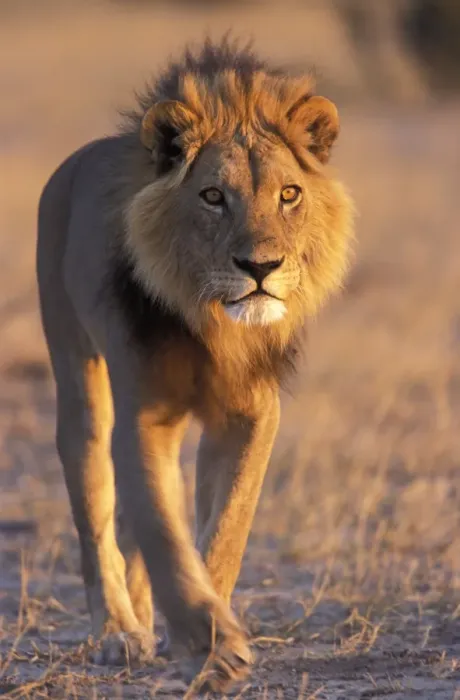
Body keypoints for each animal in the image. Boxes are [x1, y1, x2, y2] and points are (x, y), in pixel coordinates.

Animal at [36, 39, 353, 691]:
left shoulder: (253, 414)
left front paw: (207, 634)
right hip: (78, 381)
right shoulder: (142, 416)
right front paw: (211, 643)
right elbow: (160, 527)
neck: (215, 326)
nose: (260, 267)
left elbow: (226, 525)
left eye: (289, 194)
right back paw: (119, 632)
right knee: (96, 514)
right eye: (213, 196)